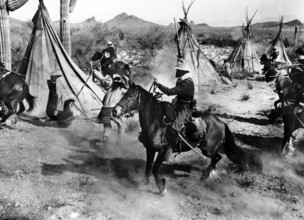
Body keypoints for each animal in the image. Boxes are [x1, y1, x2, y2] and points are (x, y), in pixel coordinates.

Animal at [111, 83, 258, 195]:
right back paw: (209, 173)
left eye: (131, 96)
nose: (114, 111)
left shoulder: (164, 151)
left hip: (207, 149)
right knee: (217, 157)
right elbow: (148, 166)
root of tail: (221, 123)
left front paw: (162, 188)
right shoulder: (150, 149)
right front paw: (144, 183)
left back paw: (205, 175)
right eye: (123, 94)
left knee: (217, 157)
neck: (156, 123)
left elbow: (154, 168)